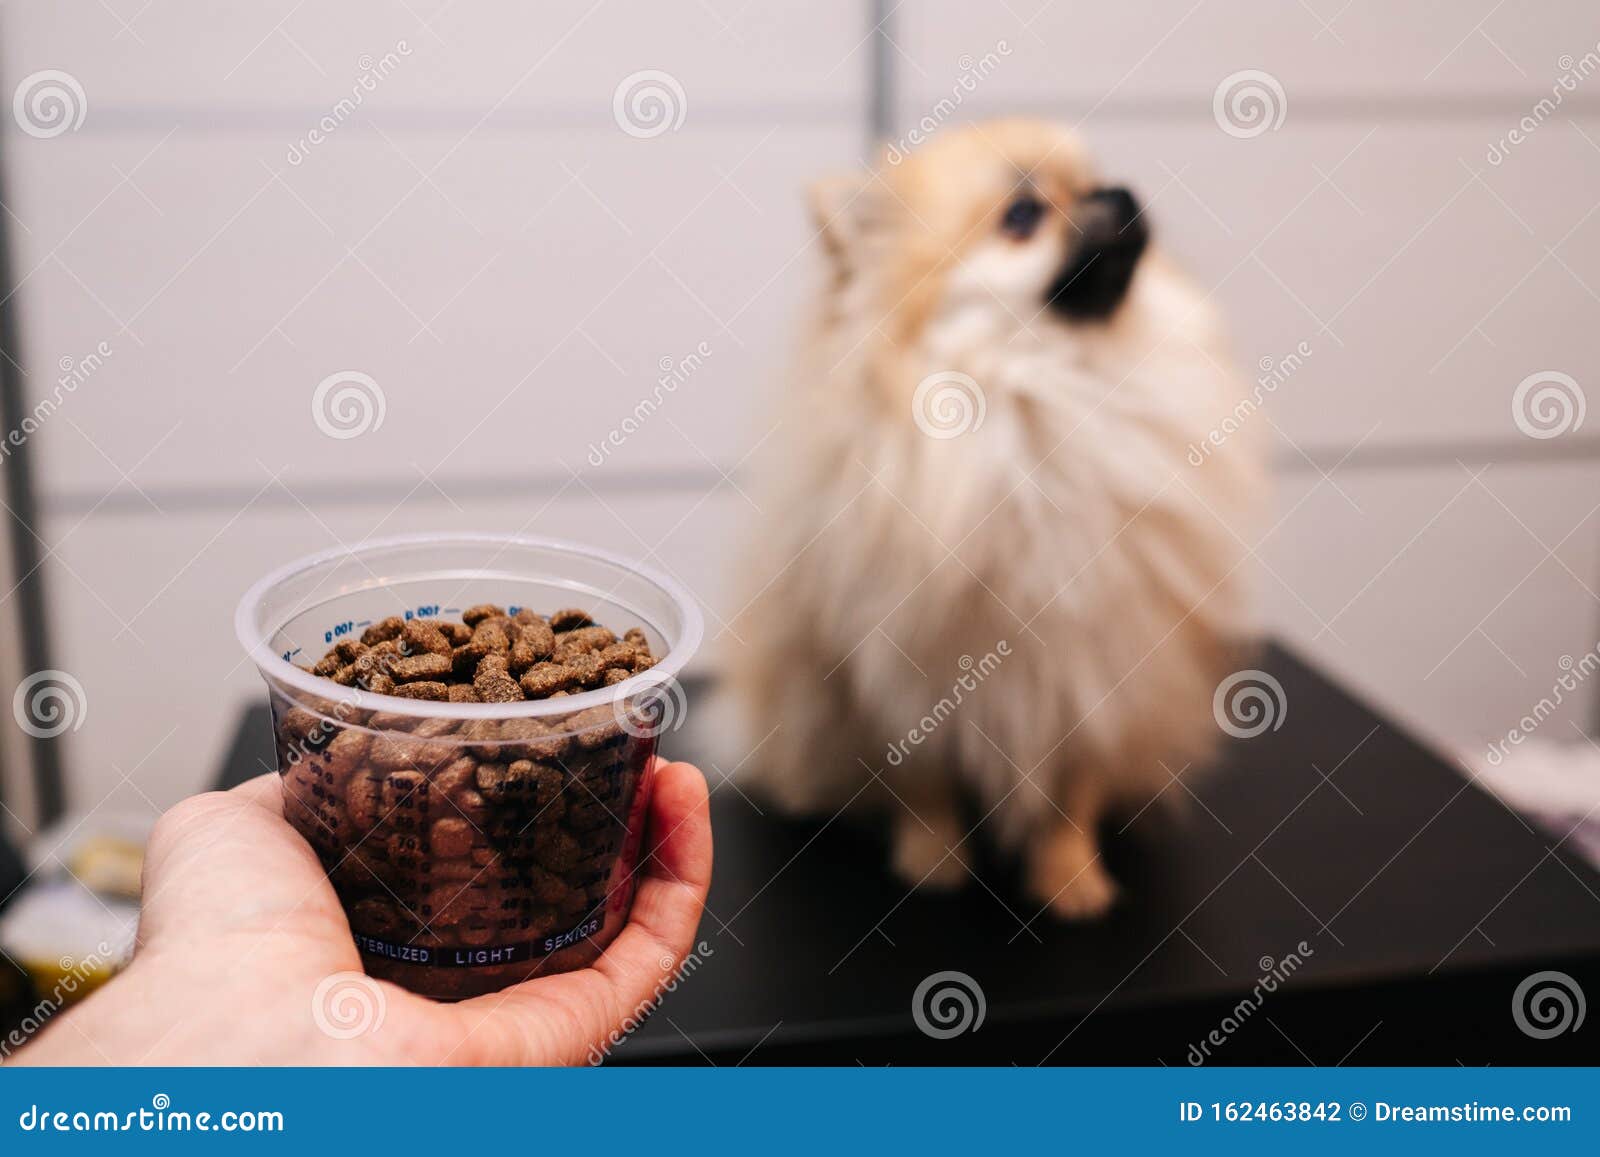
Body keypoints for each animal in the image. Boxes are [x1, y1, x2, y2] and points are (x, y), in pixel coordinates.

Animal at [726, 115, 1260, 915]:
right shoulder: (899, 676)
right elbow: (921, 784)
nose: (1119, 192)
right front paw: (933, 865)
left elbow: (1074, 789)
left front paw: (1071, 880)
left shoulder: (1098, 669)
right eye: (1023, 215)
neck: (1046, 394)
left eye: (1095, 178)